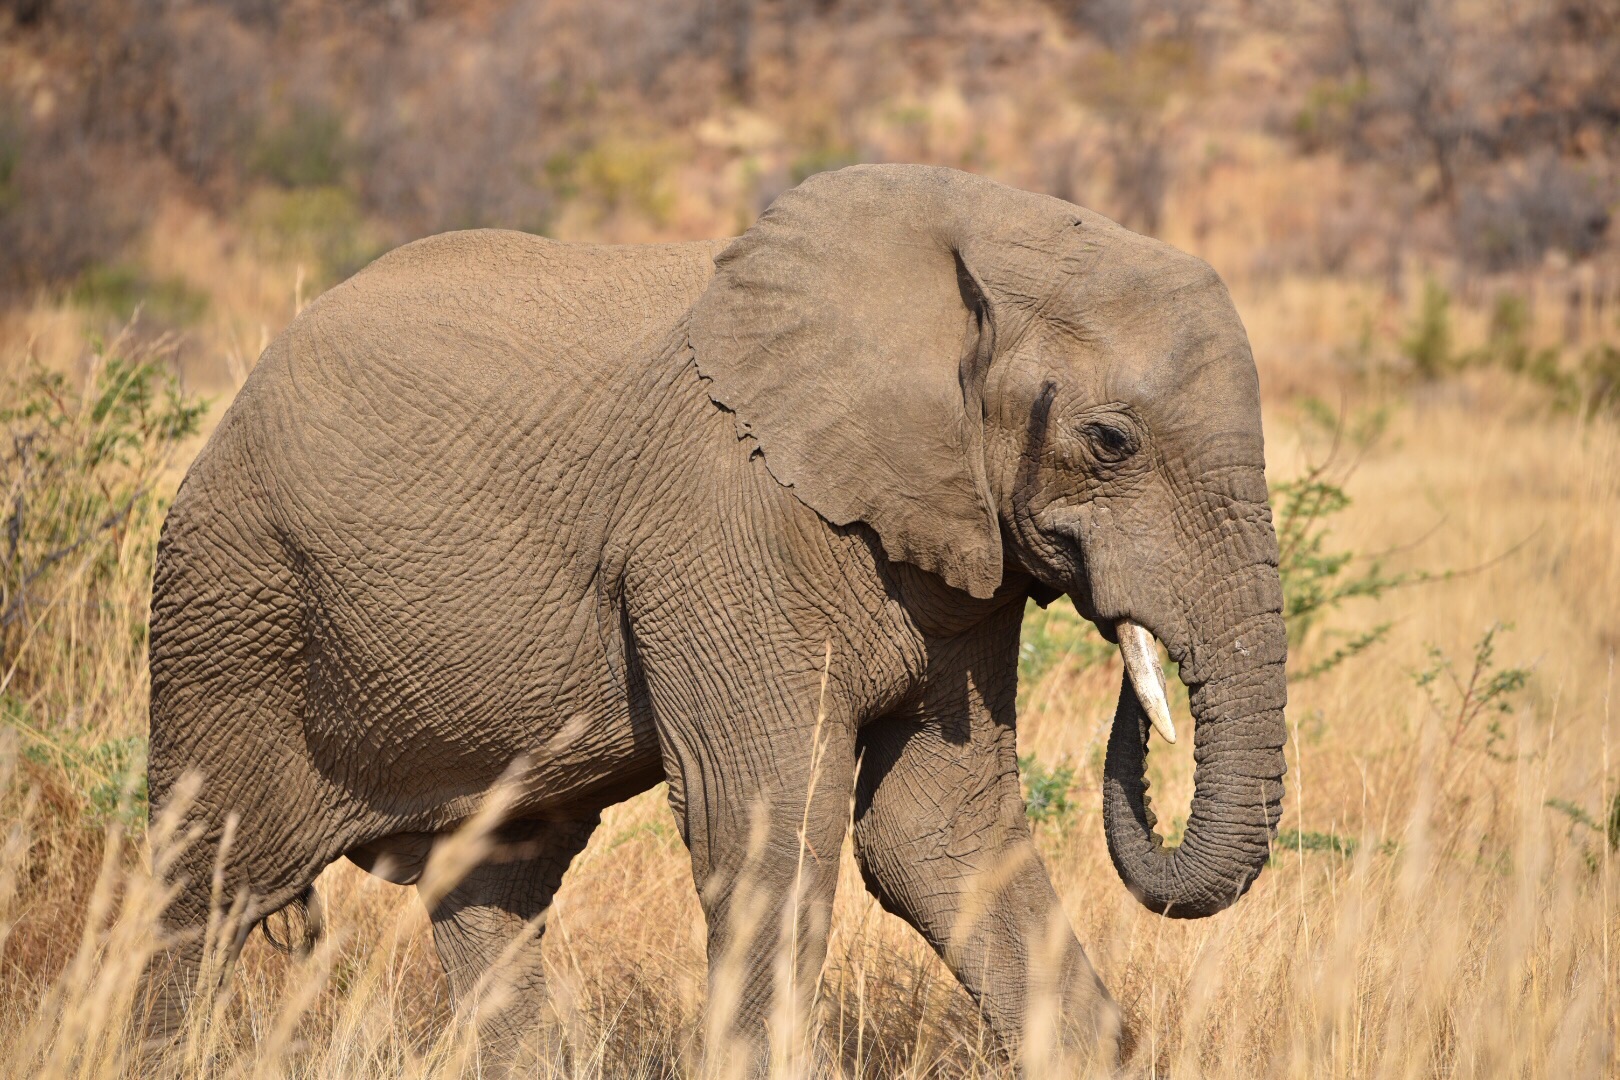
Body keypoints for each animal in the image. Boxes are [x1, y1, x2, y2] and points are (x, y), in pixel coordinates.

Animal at [139, 162, 1283, 1075]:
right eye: (1110, 441)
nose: (1141, 677)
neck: (972, 239)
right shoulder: (730, 525)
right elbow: (771, 816)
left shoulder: (958, 548)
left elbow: (935, 829)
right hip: (231, 613)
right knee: (202, 888)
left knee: (491, 884)